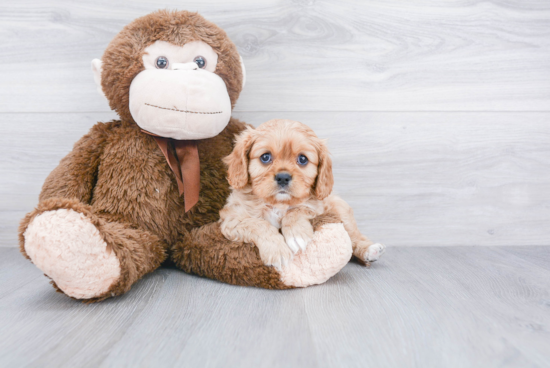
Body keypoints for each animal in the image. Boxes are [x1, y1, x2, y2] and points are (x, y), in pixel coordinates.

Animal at [218, 119, 386, 268]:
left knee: (354, 237)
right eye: (265, 157)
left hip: (340, 209)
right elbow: (258, 224)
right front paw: (277, 251)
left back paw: (369, 250)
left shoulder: (317, 207)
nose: (283, 177)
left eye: (303, 159)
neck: (279, 203)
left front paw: (295, 235)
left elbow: (297, 210)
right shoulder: (232, 218)